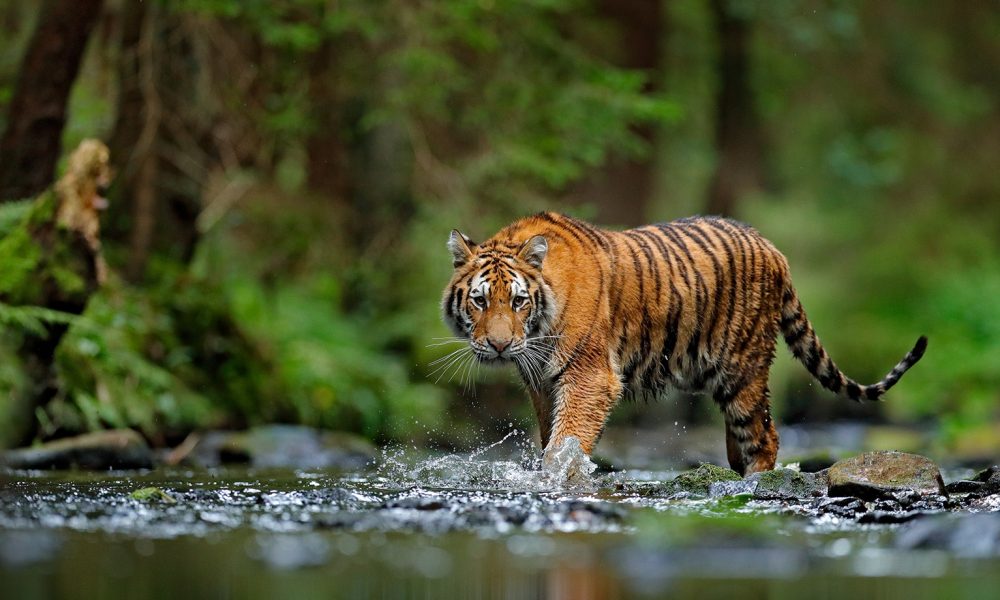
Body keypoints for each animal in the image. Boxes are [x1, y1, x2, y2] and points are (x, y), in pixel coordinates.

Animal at [440, 212, 927, 475]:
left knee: (765, 435)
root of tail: (772, 248)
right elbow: (551, 438)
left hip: (743, 370)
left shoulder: (589, 377)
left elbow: (566, 442)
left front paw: (558, 479)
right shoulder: (542, 382)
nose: (499, 346)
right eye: (480, 301)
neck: (538, 331)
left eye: (518, 301)